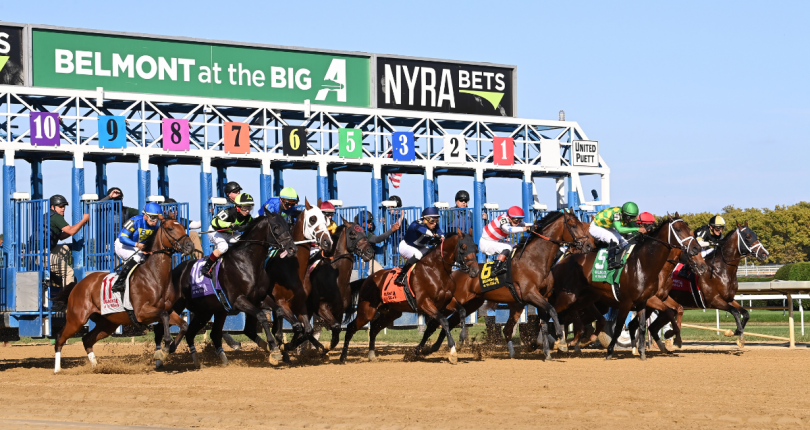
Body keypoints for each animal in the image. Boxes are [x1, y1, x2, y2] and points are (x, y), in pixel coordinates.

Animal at [52, 217, 195, 372]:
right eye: (170, 229)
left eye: (183, 227)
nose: (190, 245)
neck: (154, 276)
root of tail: (78, 285)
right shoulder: (141, 312)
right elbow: (164, 316)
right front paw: (165, 348)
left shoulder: (168, 309)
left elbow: (183, 325)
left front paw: (171, 348)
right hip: (77, 319)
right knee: (60, 338)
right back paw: (57, 370)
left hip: (107, 323)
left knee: (86, 340)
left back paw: (96, 367)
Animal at [304, 218, 374, 356]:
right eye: (352, 233)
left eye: (364, 232)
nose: (370, 251)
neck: (336, 280)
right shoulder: (321, 307)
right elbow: (335, 327)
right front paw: (322, 349)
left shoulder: (339, 311)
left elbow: (336, 336)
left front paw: (324, 349)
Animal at [336, 230, 476, 364]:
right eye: (463, 247)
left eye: (475, 247)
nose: (475, 271)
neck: (436, 270)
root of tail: (367, 279)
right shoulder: (424, 303)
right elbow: (444, 321)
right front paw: (453, 352)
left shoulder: (446, 301)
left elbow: (462, 311)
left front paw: (462, 339)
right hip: (367, 311)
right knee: (351, 327)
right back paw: (343, 358)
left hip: (391, 313)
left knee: (374, 328)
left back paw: (371, 355)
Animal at [416, 209, 592, 360]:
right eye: (574, 225)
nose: (589, 245)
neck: (535, 259)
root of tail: (452, 273)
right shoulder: (530, 294)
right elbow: (553, 312)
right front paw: (561, 342)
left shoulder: (543, 296)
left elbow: (544, 320)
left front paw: (547, 353)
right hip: (449, 301)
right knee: (435, 322)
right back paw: (421, 349)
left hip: (472, 303)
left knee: (450, 322)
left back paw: (440, 347)